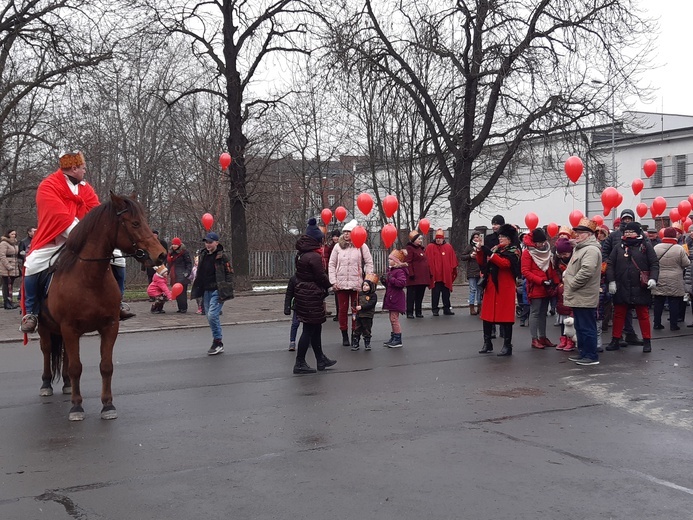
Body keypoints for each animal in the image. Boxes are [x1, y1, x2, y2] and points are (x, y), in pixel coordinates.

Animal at [38, 193, 166, 420]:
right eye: (135, 223)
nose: (161, 254)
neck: (90, 278)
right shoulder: (69, 328)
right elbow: (76, 367)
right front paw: (76, 406)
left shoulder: (109, 326)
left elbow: (106, 366)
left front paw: (107, 405)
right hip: (45, 327)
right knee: (46, 350)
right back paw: (46, 384)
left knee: (64, 354)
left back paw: (67, 384)